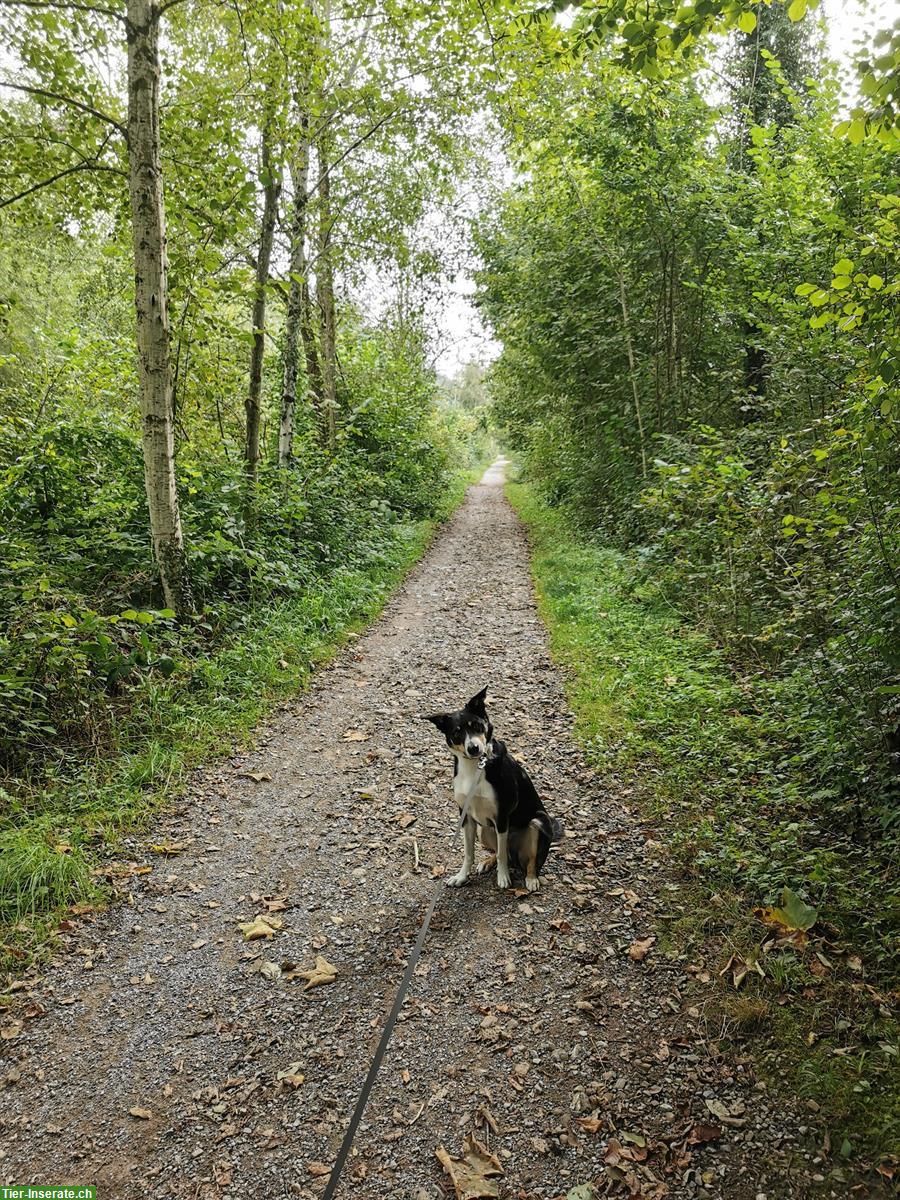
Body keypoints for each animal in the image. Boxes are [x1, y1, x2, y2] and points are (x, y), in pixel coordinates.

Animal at [424, 686, 564, 892]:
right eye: (457, 733)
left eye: (477, 726)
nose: (474, 748)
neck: (475, 767)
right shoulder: (466, 816)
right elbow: (469, 853)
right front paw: (462, 877)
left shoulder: (502, 816)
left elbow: (502, 855)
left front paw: (503, 878)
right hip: (485, 831)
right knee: (503, 851)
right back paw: (487, 863)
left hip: (537, 823)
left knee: (528, 860)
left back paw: (531, 879)